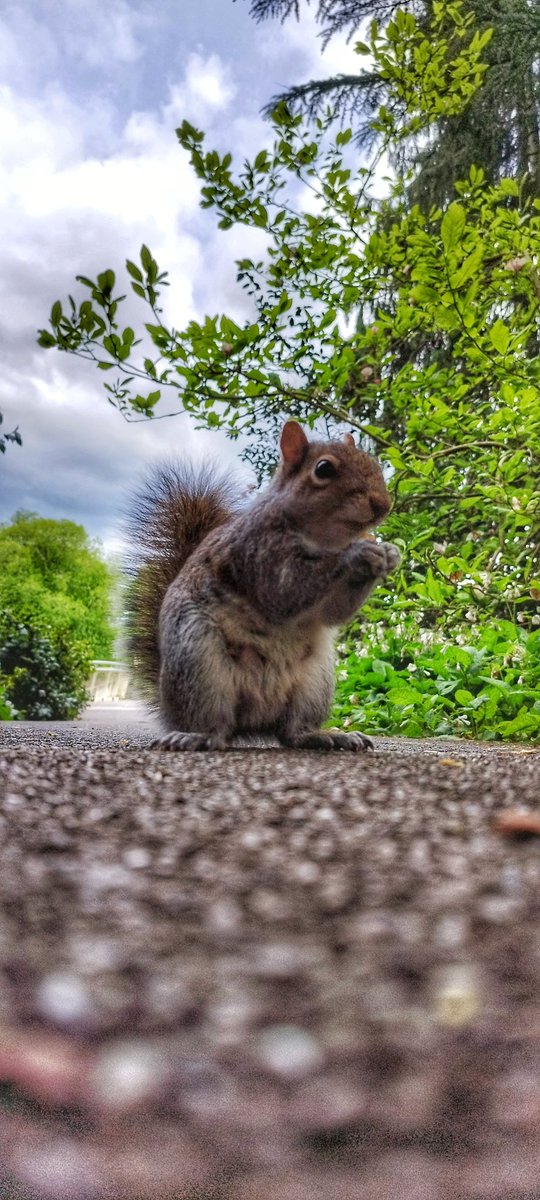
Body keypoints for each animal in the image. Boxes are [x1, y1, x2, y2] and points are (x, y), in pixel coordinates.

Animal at [127, 422, 400, 748]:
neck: (325, 538)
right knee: (216, 724)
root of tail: (252, 722)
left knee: (292, 733)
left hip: (315, 682)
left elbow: (333, 613)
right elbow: (284, 591)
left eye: (374, 464)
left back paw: (326, 736)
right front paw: (358, 553)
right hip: (198, 664)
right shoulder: (255, 551)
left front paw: (388, 554)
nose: (383, 505)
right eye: (324, 469)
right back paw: (196, 736)